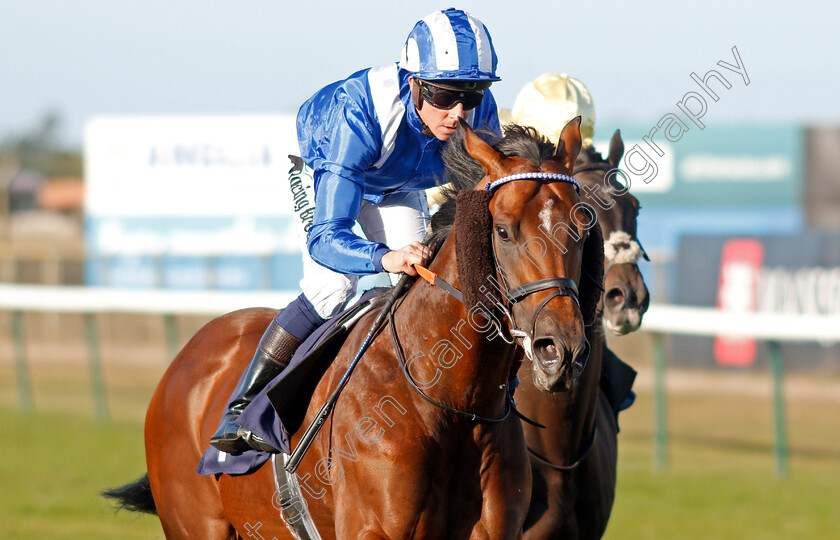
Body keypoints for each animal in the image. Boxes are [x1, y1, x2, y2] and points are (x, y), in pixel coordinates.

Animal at [106, 119, 604, 540]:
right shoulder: (373, 529)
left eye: (581, 229)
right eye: (502, 231)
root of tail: (188, 358)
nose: (560, 351)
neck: (450, 405)